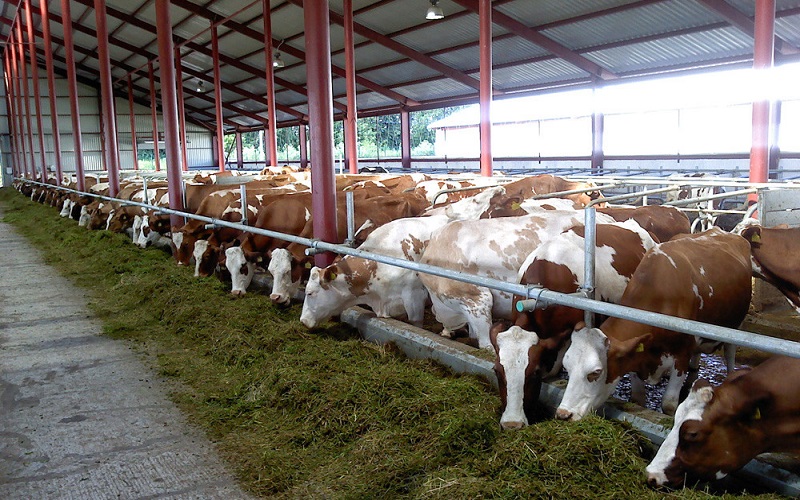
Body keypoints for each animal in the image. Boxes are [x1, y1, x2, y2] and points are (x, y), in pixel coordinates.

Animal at [556, 229, 752, 422]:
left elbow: (669, 405)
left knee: (730, 352)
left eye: (596, 372)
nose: (563, 414)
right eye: (567, 366)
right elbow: (637, 398)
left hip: (737, 325)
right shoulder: (635, 355)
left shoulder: (682, 355)